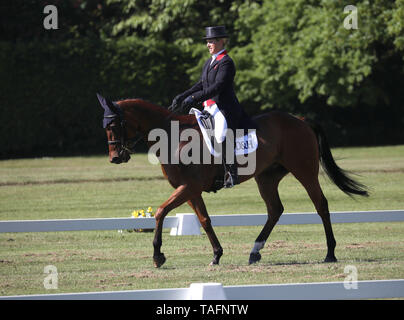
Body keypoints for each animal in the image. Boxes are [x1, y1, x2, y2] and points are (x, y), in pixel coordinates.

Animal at [96, 93, 368, 268]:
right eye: (105, 127)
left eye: (114, 125)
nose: (115, 157)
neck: (173, 136)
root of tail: (300, 120)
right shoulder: (190, 190)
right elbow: (204, 220)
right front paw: (216, 255)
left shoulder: (190, 187)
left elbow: (161, 211)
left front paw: (157, 255)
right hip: (266, 177)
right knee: (275, 210)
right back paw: (255, 252)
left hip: (305, 171)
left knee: (320, 204)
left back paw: (330, 253)